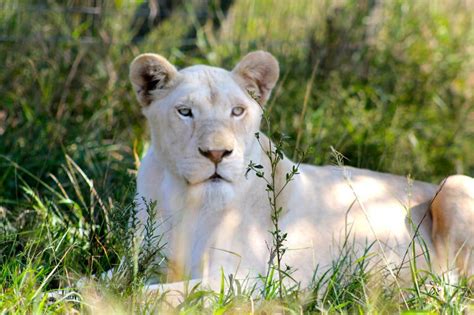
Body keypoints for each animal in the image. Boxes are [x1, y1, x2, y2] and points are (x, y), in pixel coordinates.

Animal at [128, 50, 472, 294]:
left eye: (237, 111)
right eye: (185, 112)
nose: (217, 154)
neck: (186, 200)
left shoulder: (239, 282)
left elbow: (147, 296)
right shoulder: (145, 263)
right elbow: (123, 283)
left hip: (455, 183)